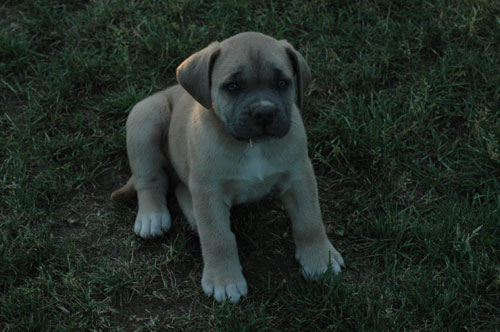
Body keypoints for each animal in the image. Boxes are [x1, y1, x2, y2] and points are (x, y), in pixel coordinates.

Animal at [111, 32, 344, 302]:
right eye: (232, 86)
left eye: (282, 83)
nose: (264, 112)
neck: (252, 146)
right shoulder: (209, 190)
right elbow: (218, 238)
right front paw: (224, 281)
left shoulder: (299, 177)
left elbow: (310, 221)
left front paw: (320, 260)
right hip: (146, 119)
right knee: (150, 180)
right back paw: (152, 217)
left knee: (180, 187)